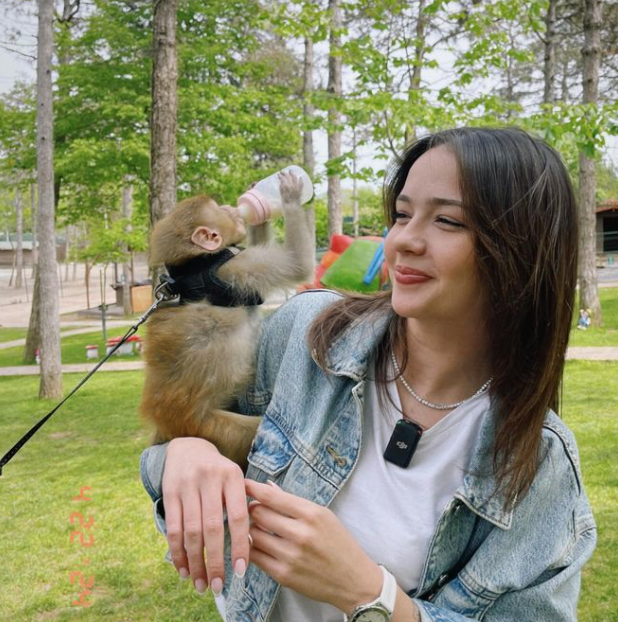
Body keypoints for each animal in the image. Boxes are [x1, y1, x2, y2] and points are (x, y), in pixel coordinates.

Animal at [140, 173, 312, 470]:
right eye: (221, 210)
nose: (234, 208)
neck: (196, 263)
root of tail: (167, 424)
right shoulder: (237, 266)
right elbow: (297, 264)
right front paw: (289, 196)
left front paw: (260, 214)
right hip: (211, 427)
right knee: (253, 431)